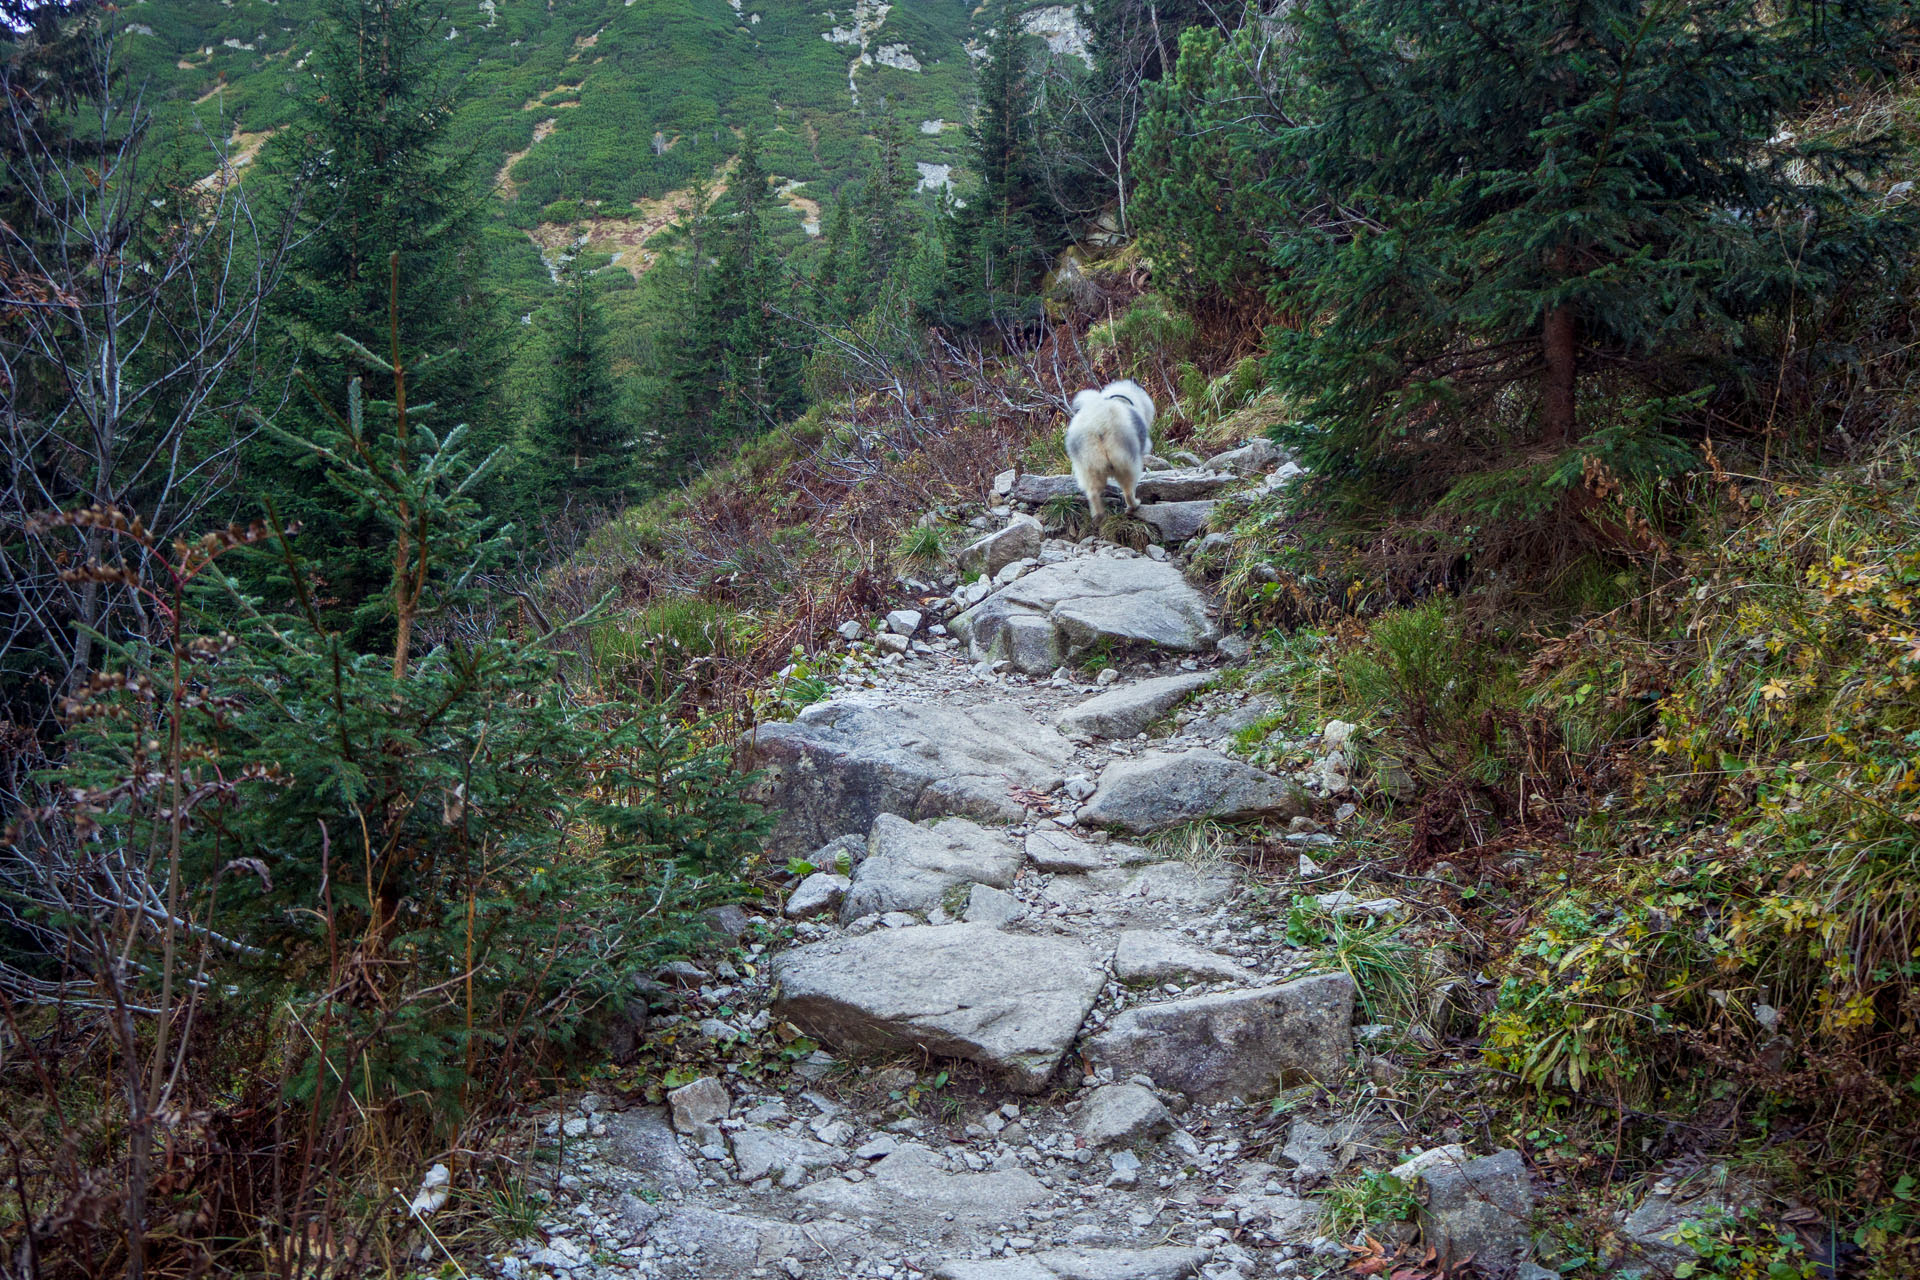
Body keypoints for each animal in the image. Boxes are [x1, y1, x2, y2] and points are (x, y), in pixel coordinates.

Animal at [1067, 379, 1152, 521]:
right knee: (1128, 490)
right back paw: (1134, 505)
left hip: (1087, 465)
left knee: (1093, 492)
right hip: (1126, 460)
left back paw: (1098, 516)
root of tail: (1099, 421)